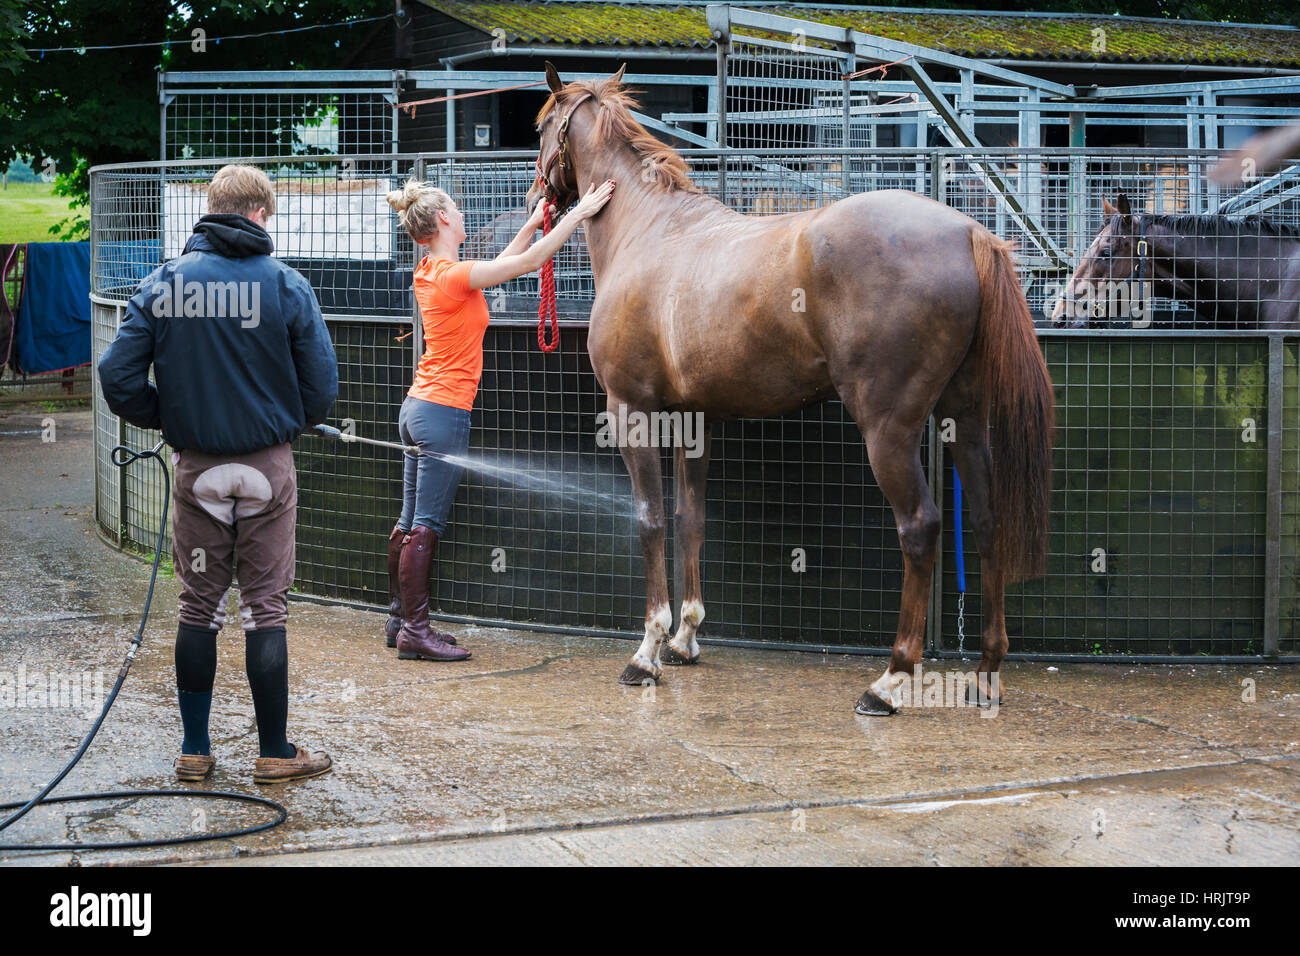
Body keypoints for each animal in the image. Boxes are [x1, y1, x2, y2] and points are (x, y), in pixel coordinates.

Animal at [527, 65, 1055, 712]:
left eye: (541, 127)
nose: (536, 198)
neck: (648, 230)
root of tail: (968, 232)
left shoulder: (633, 411)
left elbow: (650, 519)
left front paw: (647, 651)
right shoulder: (693, 420)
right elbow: (689, 519)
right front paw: (685, 639)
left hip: (889, 429)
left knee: (921, 527)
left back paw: (890, 680)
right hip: (966, 417)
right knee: (985, 519)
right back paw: (985, 671)